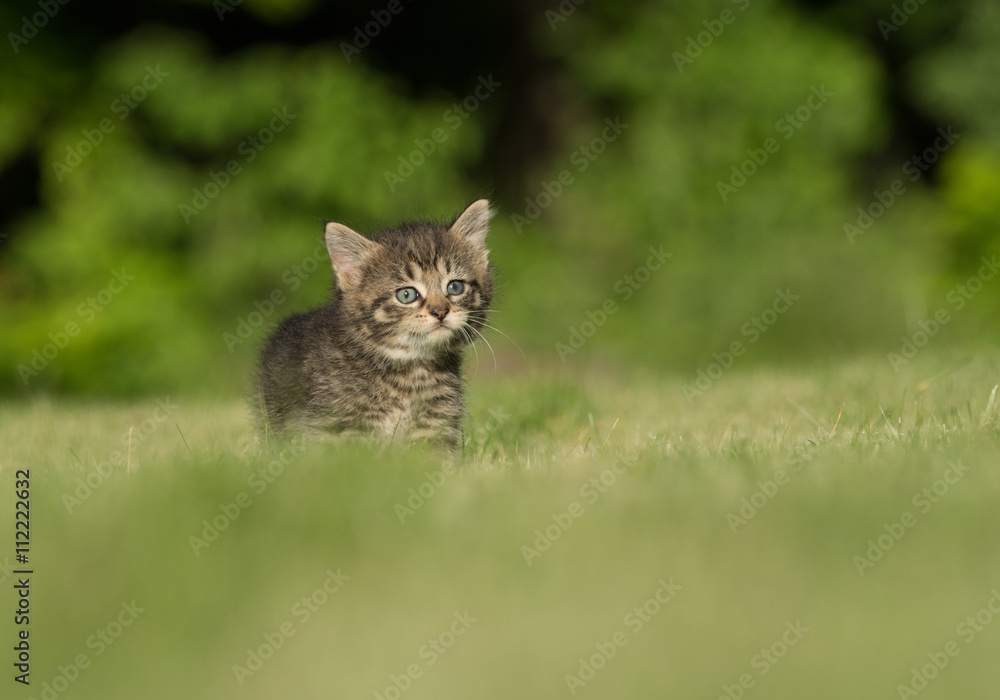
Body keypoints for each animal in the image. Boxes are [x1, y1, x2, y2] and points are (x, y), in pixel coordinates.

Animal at [256, 198, 494, 448]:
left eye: (454, 287)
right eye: (406, 295)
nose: (440, 311)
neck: (408, 371)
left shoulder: (437, 424)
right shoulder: (337, 424)